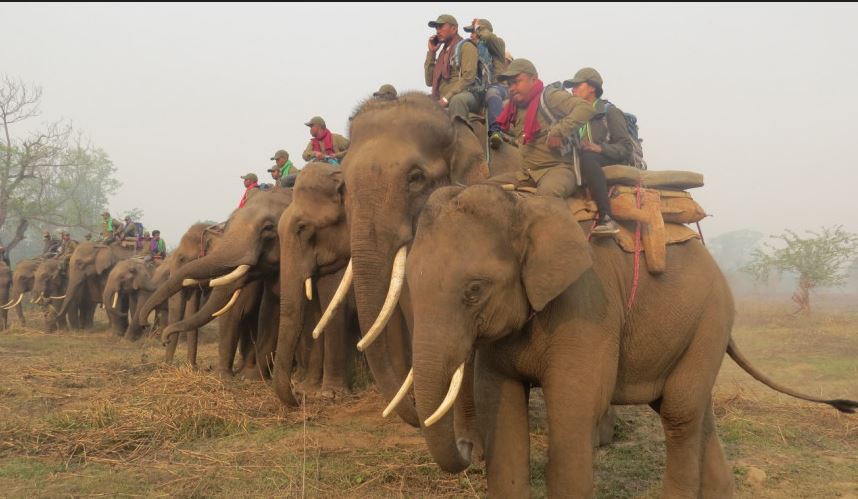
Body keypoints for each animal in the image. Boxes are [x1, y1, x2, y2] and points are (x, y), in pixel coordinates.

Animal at [402, 186, 856, 498]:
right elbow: (500, 406)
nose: (466, 447)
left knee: (680, 411)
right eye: (407, 286)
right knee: (695, 409)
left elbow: (576, 405)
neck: (524, 203)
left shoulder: (588, 306)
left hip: (712, 317)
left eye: (474, 290)